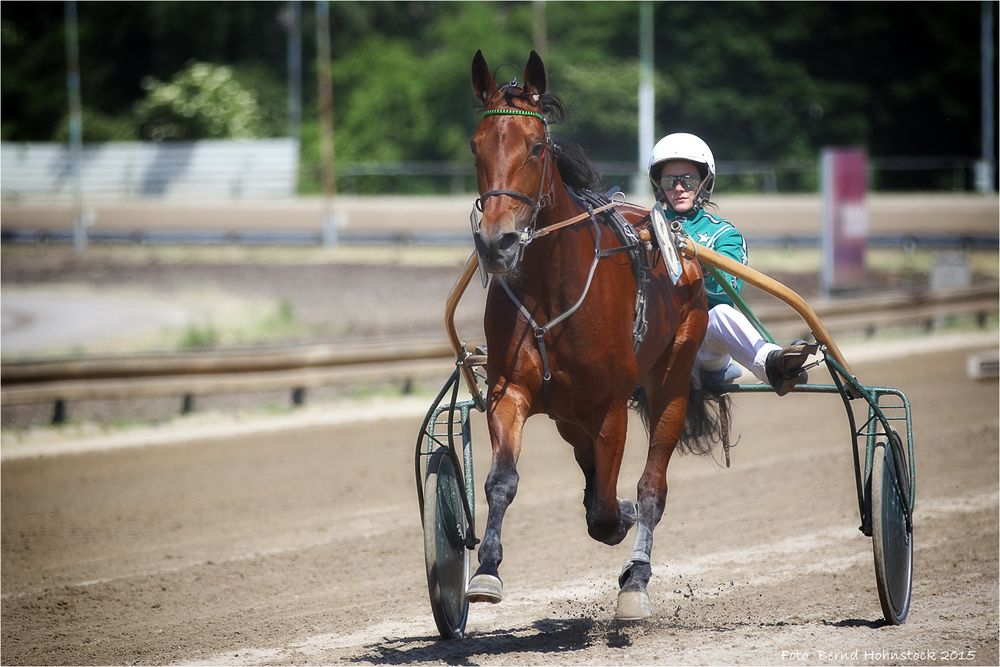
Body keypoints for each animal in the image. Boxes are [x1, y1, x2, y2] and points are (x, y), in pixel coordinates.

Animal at [468, 51, 728, 620]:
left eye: (536, 146)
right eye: (476, 144)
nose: (497, 242)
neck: (551, 289)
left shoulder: (609, 405)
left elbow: (610, 509)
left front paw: (623, 527)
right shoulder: (511, 390)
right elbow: (502, 481)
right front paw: (486, 570)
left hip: (671, 381)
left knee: (651, 486)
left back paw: (637, 574)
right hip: (568, 413)